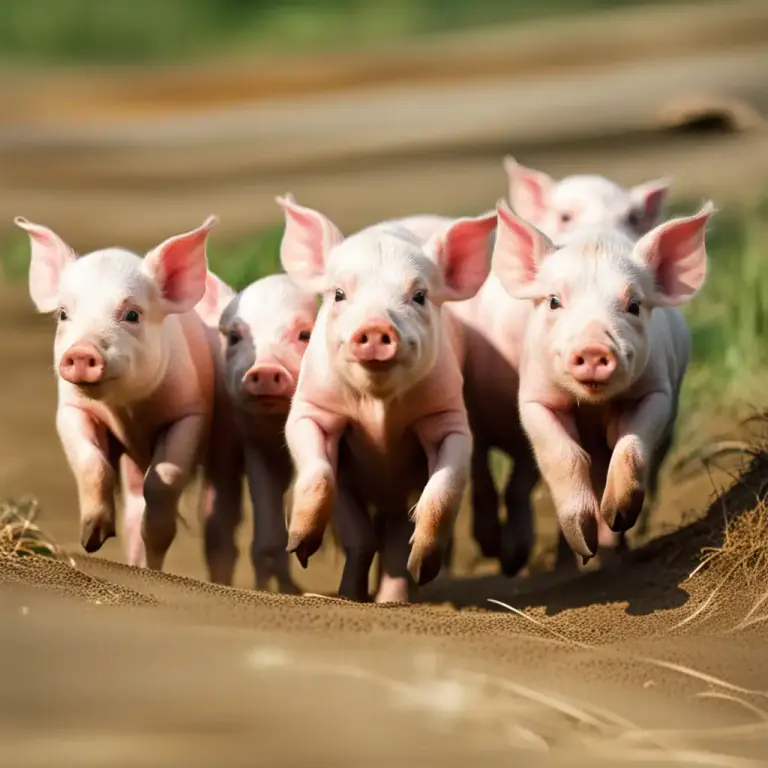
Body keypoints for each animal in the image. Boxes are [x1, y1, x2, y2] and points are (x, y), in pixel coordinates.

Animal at [16, 214, 219, 571]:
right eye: (63, 314)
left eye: (132, 314)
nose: (82, 350)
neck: (128, 412)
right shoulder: (71, 411)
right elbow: (91, 463)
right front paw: (91, 541)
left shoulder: (190, 414)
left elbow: (164, 478)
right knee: (134, 510)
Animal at [197, 269, 318, 593]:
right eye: (234, 337)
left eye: (305, 334)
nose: (263, 369)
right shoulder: (254, 443)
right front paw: (266, 590)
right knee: (219, 521)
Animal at [275, 194, 497, 603]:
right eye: (338, 294)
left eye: (420, 296)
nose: (377, 327)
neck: (378, 412)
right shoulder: (312, 409)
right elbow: (318, 473)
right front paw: (298, 549)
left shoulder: (448, 419)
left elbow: (444, 488)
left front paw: (424, 569)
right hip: (350, 493)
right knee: (361, 539)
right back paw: (348, 596)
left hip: (402, 495)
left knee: (392, 542)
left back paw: (394, 599)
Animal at [490, 199, 714, 561]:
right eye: (554, 301)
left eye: (634, 305)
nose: (594, 347)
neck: (594, 407)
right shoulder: (534, 399)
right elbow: (563, 454)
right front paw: (584, 545)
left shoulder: (657, 392)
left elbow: (631, 446)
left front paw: (617, 517)